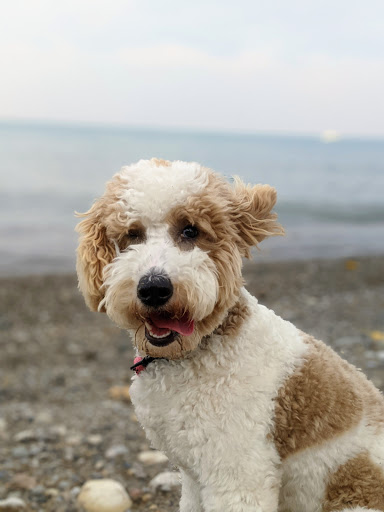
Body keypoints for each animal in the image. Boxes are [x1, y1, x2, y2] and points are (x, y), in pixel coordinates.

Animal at [75, 158, 384, 510]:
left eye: (190, 230)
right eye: (132, 234)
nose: (153, 288)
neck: (193, 355)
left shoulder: (237, 477)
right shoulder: (194, 476)